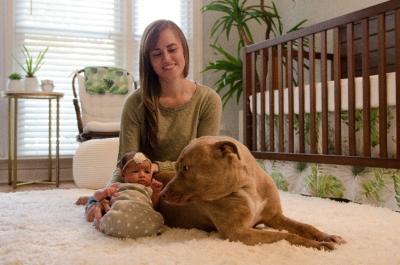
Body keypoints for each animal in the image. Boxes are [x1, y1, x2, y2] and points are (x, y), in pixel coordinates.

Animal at [161, 135, 346, 249]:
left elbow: (305, 226)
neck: (247, 187)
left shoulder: (274, 217)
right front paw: (318, 246)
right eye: (176, 167)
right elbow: (285, 237)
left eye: (185, 168)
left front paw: (326, 237)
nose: (162, 194)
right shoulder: (239, 233)